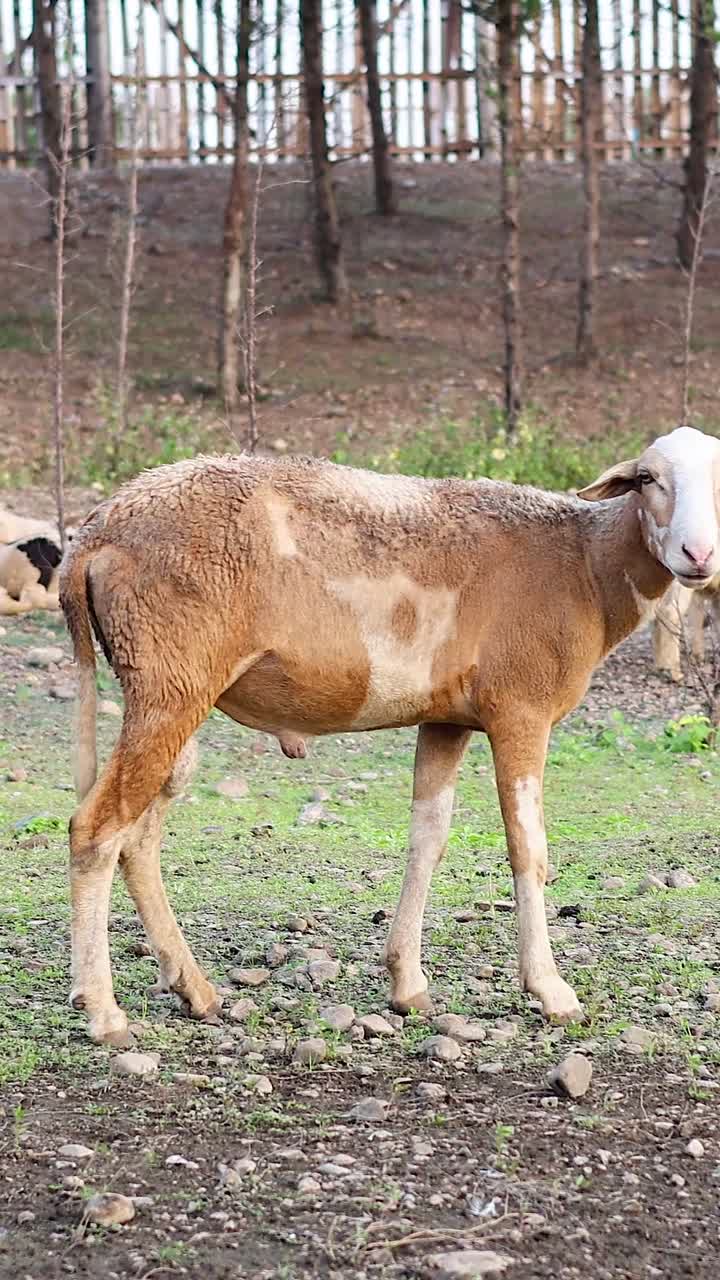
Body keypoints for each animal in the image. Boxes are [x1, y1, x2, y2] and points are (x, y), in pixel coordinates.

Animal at [60, 424, 720, 1048]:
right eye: (648, 480)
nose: (698, 554)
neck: (584, 568)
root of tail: (95, 532)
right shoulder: (521, 711)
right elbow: (528, 849)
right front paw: (551, 990)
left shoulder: (447, 718)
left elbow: (427, 838)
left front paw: (407, 983)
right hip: (169, 682)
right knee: (96, 831)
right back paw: (104, 1012)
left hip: (166, 690)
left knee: (139, 838)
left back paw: (193, 989)